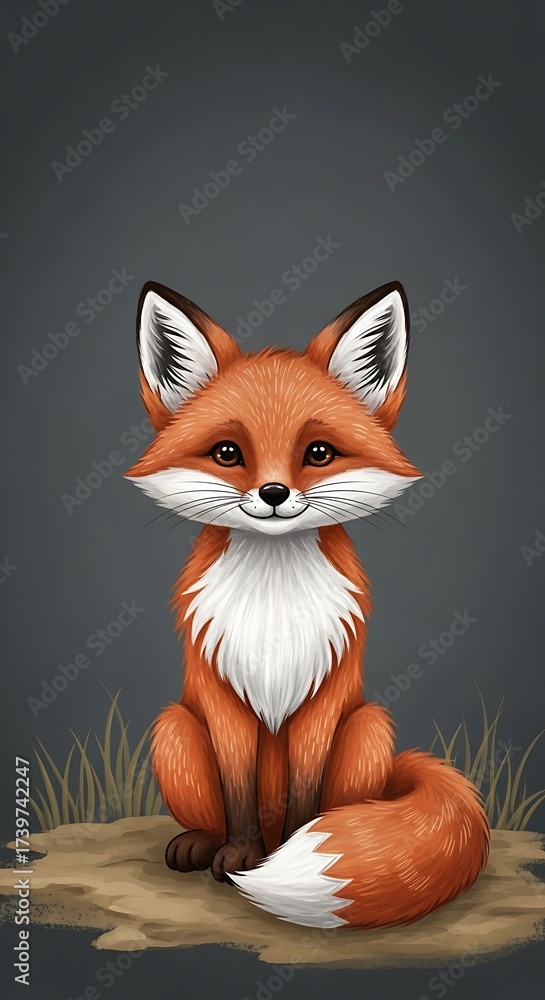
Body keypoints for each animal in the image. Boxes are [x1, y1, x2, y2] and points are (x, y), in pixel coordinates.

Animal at [125, 279, 489, 930]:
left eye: (318, 452)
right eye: (227, 452)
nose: (273, 493)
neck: (274, 601)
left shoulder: (323, 694)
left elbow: (305, 792)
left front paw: (285, 852)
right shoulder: (223, 696)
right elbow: (238, 792)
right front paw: (241, 855)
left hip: (369, 727)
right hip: (174, 728)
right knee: (211, 811)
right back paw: (202, 843)